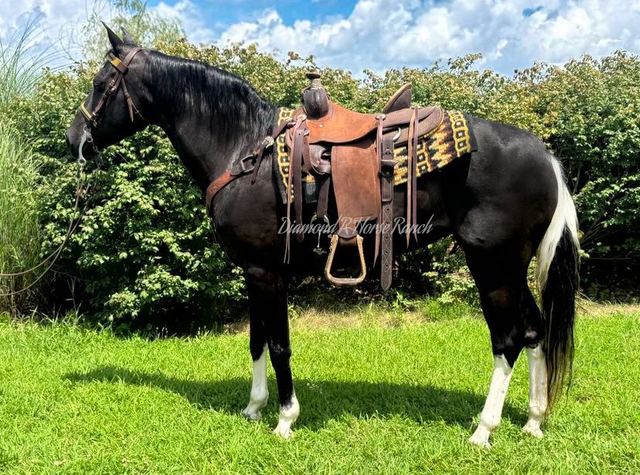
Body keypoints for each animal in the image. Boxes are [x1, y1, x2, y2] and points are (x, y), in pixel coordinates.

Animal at [65, 25, 579, 448]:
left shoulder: (266, 271)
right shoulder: (254, 271)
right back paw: (533, 421)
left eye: (101, 85)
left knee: (508, 339)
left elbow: (278, 344)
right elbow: (257, 339)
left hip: (492, 265)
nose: (74, 140)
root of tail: (545, 156)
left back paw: (483, 430)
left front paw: (285, 419)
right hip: (513, 268)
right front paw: (253, 408)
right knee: (535, 332)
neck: (243, 150)